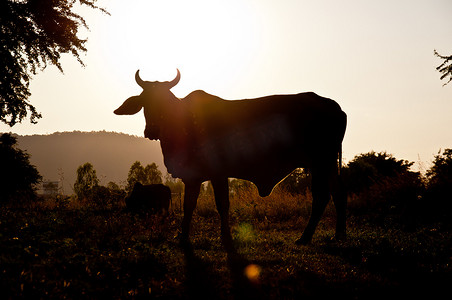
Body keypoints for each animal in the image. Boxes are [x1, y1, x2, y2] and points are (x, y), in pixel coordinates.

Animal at [115, 69, 348, 250]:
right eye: (145, 102)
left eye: (164, 102)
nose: (152, 130)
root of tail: (334, 106)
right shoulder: (192, 177)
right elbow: (189, 205)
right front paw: (183, 237)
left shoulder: (218, 173)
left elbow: (222, 204)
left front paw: (226, 238)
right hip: (326, 164)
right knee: (336, 194)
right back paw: (337, 235)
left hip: (321, 162)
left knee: (322, 196)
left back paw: (306, 237)